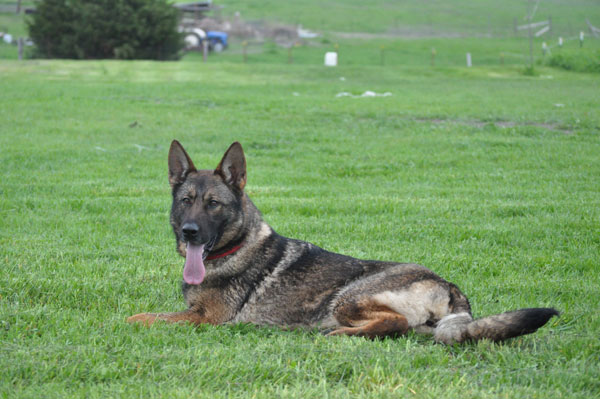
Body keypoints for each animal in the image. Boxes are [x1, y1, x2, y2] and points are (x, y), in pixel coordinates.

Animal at [127, 141, 556, 344]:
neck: (235, 247)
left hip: (348, 296)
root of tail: (448, 284)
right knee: (397, 329)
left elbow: (142, 317)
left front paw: (125, 321)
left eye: (213, 204)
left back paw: (337, 335)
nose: (189, 232)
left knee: (393, 321)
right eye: (186, 201)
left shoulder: (208, 319)